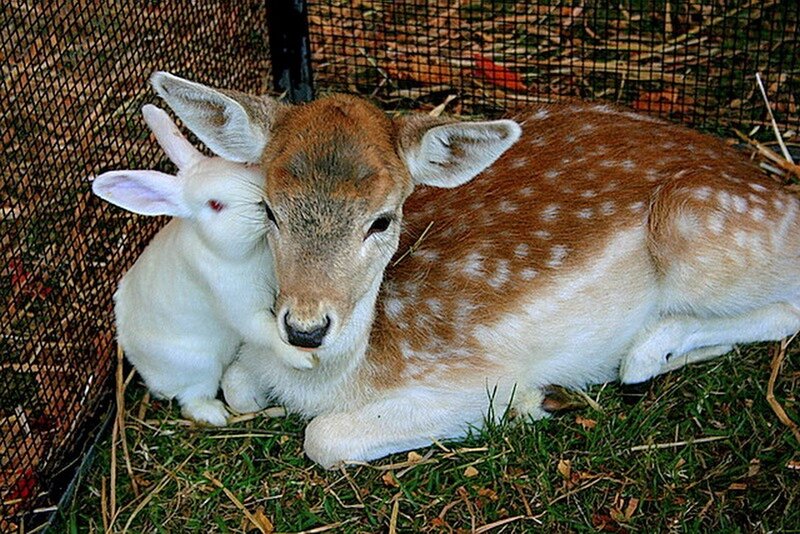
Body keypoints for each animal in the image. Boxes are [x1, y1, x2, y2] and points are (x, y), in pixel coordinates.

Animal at [91, 104, 314, 426]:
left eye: (244, 166)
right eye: (215, 205)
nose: (263, 201)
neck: (253, 249)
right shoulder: (240, 305)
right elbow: (266, 331)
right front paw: (304, 358)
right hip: (200, 367)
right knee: (190, 400)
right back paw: (216, 415)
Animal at [151, 71, 800, 467]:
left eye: (382, 220)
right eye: (270, 209)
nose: (305, 328)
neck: (336, 377)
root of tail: (778, 184)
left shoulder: (473, 374)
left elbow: (323, 436)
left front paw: (529, 402)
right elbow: (236, 384)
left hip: (702, 228)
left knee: (785, 309)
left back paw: (646, 351)